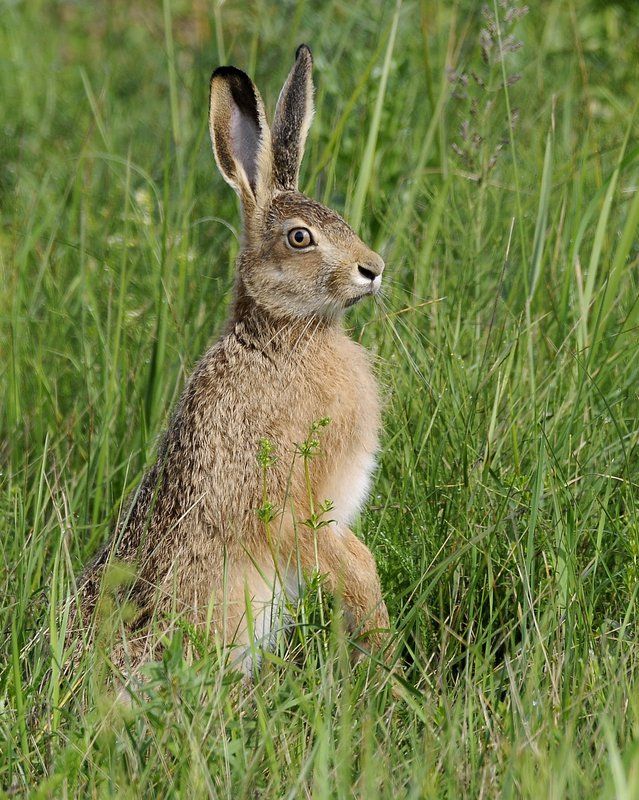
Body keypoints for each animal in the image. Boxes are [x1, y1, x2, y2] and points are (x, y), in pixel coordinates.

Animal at [74, 44, 390, 676]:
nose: (373, 268)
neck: (282, 338)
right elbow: (348, 569)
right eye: (300, 237)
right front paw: (382, 648)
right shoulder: (295, 508)